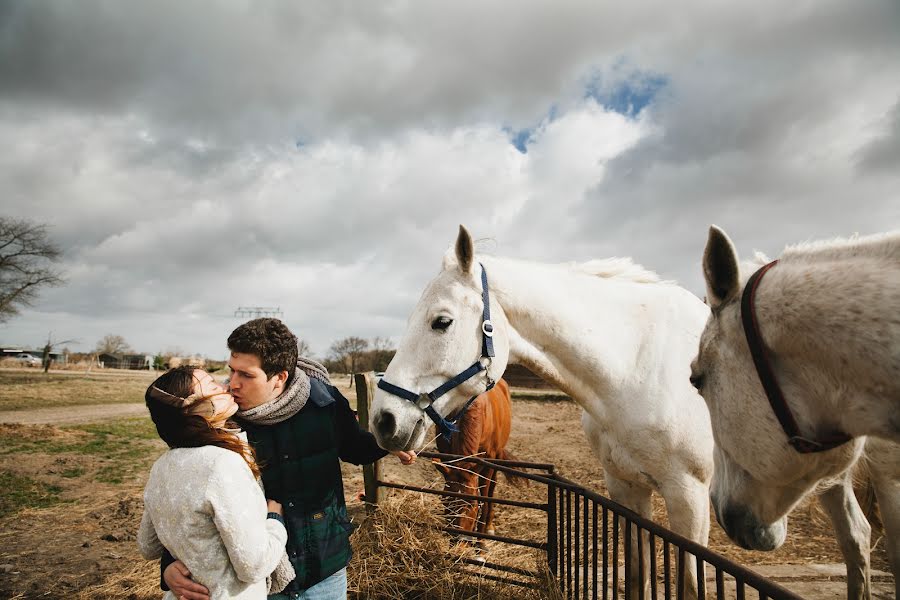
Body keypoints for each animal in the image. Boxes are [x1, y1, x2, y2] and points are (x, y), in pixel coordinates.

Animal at [432, 380, 516, 544]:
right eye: (446, 502)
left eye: (472, 505)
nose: (459, 541)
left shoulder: (488, 463)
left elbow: (484, 498)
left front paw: (481, 543)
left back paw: (489, 526)